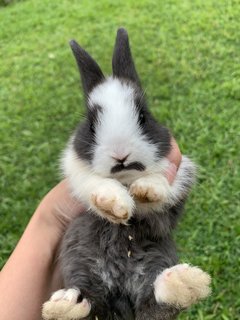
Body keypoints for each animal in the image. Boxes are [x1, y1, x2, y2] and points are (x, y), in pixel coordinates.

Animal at [42, 28, 210, 320]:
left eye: (143, 117)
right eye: (91, 125)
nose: (121, 155)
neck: (126, 178)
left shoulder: (180, 175)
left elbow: (164, 188)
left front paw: (147, 190)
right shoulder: (76, 172)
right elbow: (93, 183)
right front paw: (114, 203)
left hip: (159, 255)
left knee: (154, 303)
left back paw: (184, 284)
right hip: (78, 258)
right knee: (91, 304)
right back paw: (65, 306)